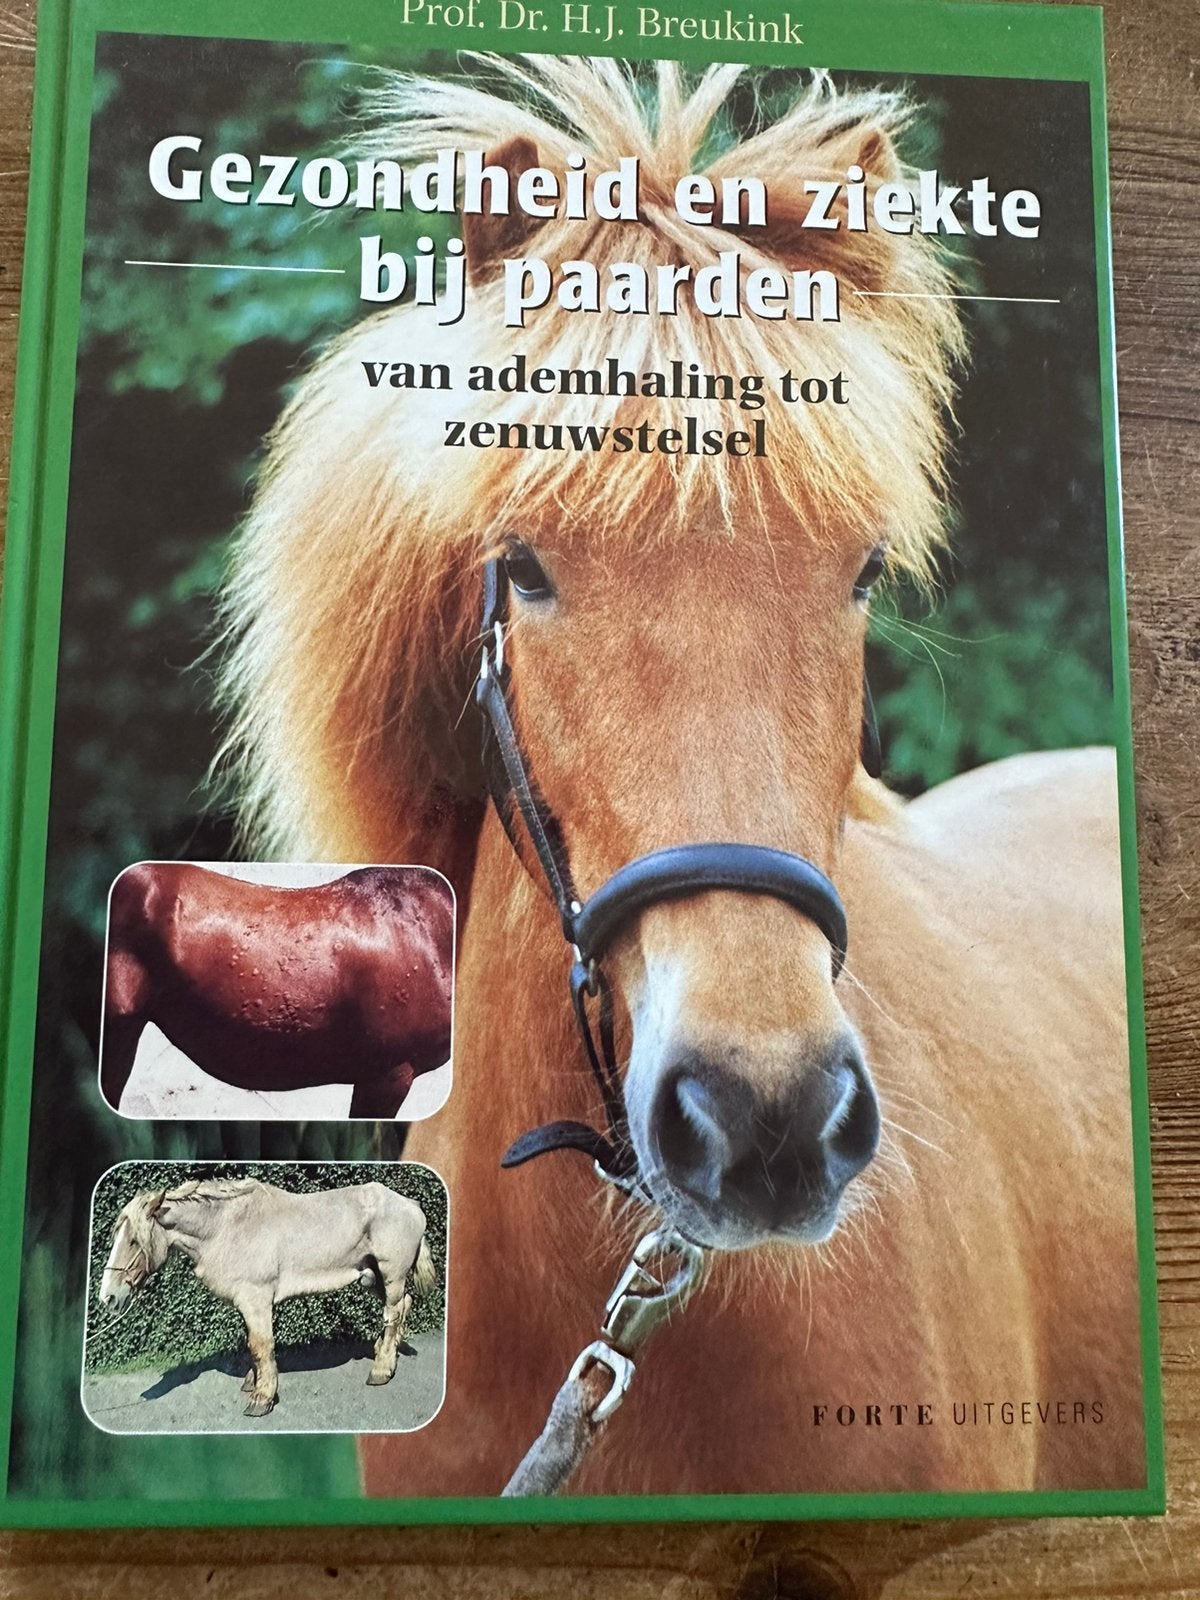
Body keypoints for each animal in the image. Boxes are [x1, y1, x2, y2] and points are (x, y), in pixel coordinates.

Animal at [97, 1177, 437, 1416]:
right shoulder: (248, 1304)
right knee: (401, 1308)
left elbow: (261, 1346)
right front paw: (254, 1382)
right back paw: (384, 1353)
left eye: (134, 1241)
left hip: (391, 1275)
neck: (227, 1228)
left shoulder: (256, 1299)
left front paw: (262, 1398)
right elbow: (253, 1344)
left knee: (392, 1313)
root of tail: (412, 1205)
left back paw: (381, 1370)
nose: (107, 1297)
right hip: (372, 1275)